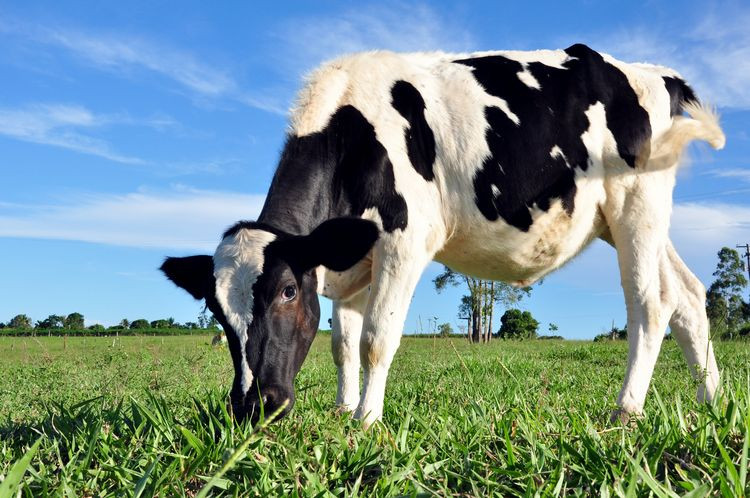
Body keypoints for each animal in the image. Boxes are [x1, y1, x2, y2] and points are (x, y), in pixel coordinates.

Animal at [160, 42, 728, 426]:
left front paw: (366, 422)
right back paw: (711, 403)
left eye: (286, 291)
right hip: (626, 219)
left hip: (637, 203)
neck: (353, 134)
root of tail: (654, 73)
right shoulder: (349, 259)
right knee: (688, 295)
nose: (254, 406)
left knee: (650, 301)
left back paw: (626, 411)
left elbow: (375, 338)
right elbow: (342, 344)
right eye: (216, 312)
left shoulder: (404, 239)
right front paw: (344, 412)